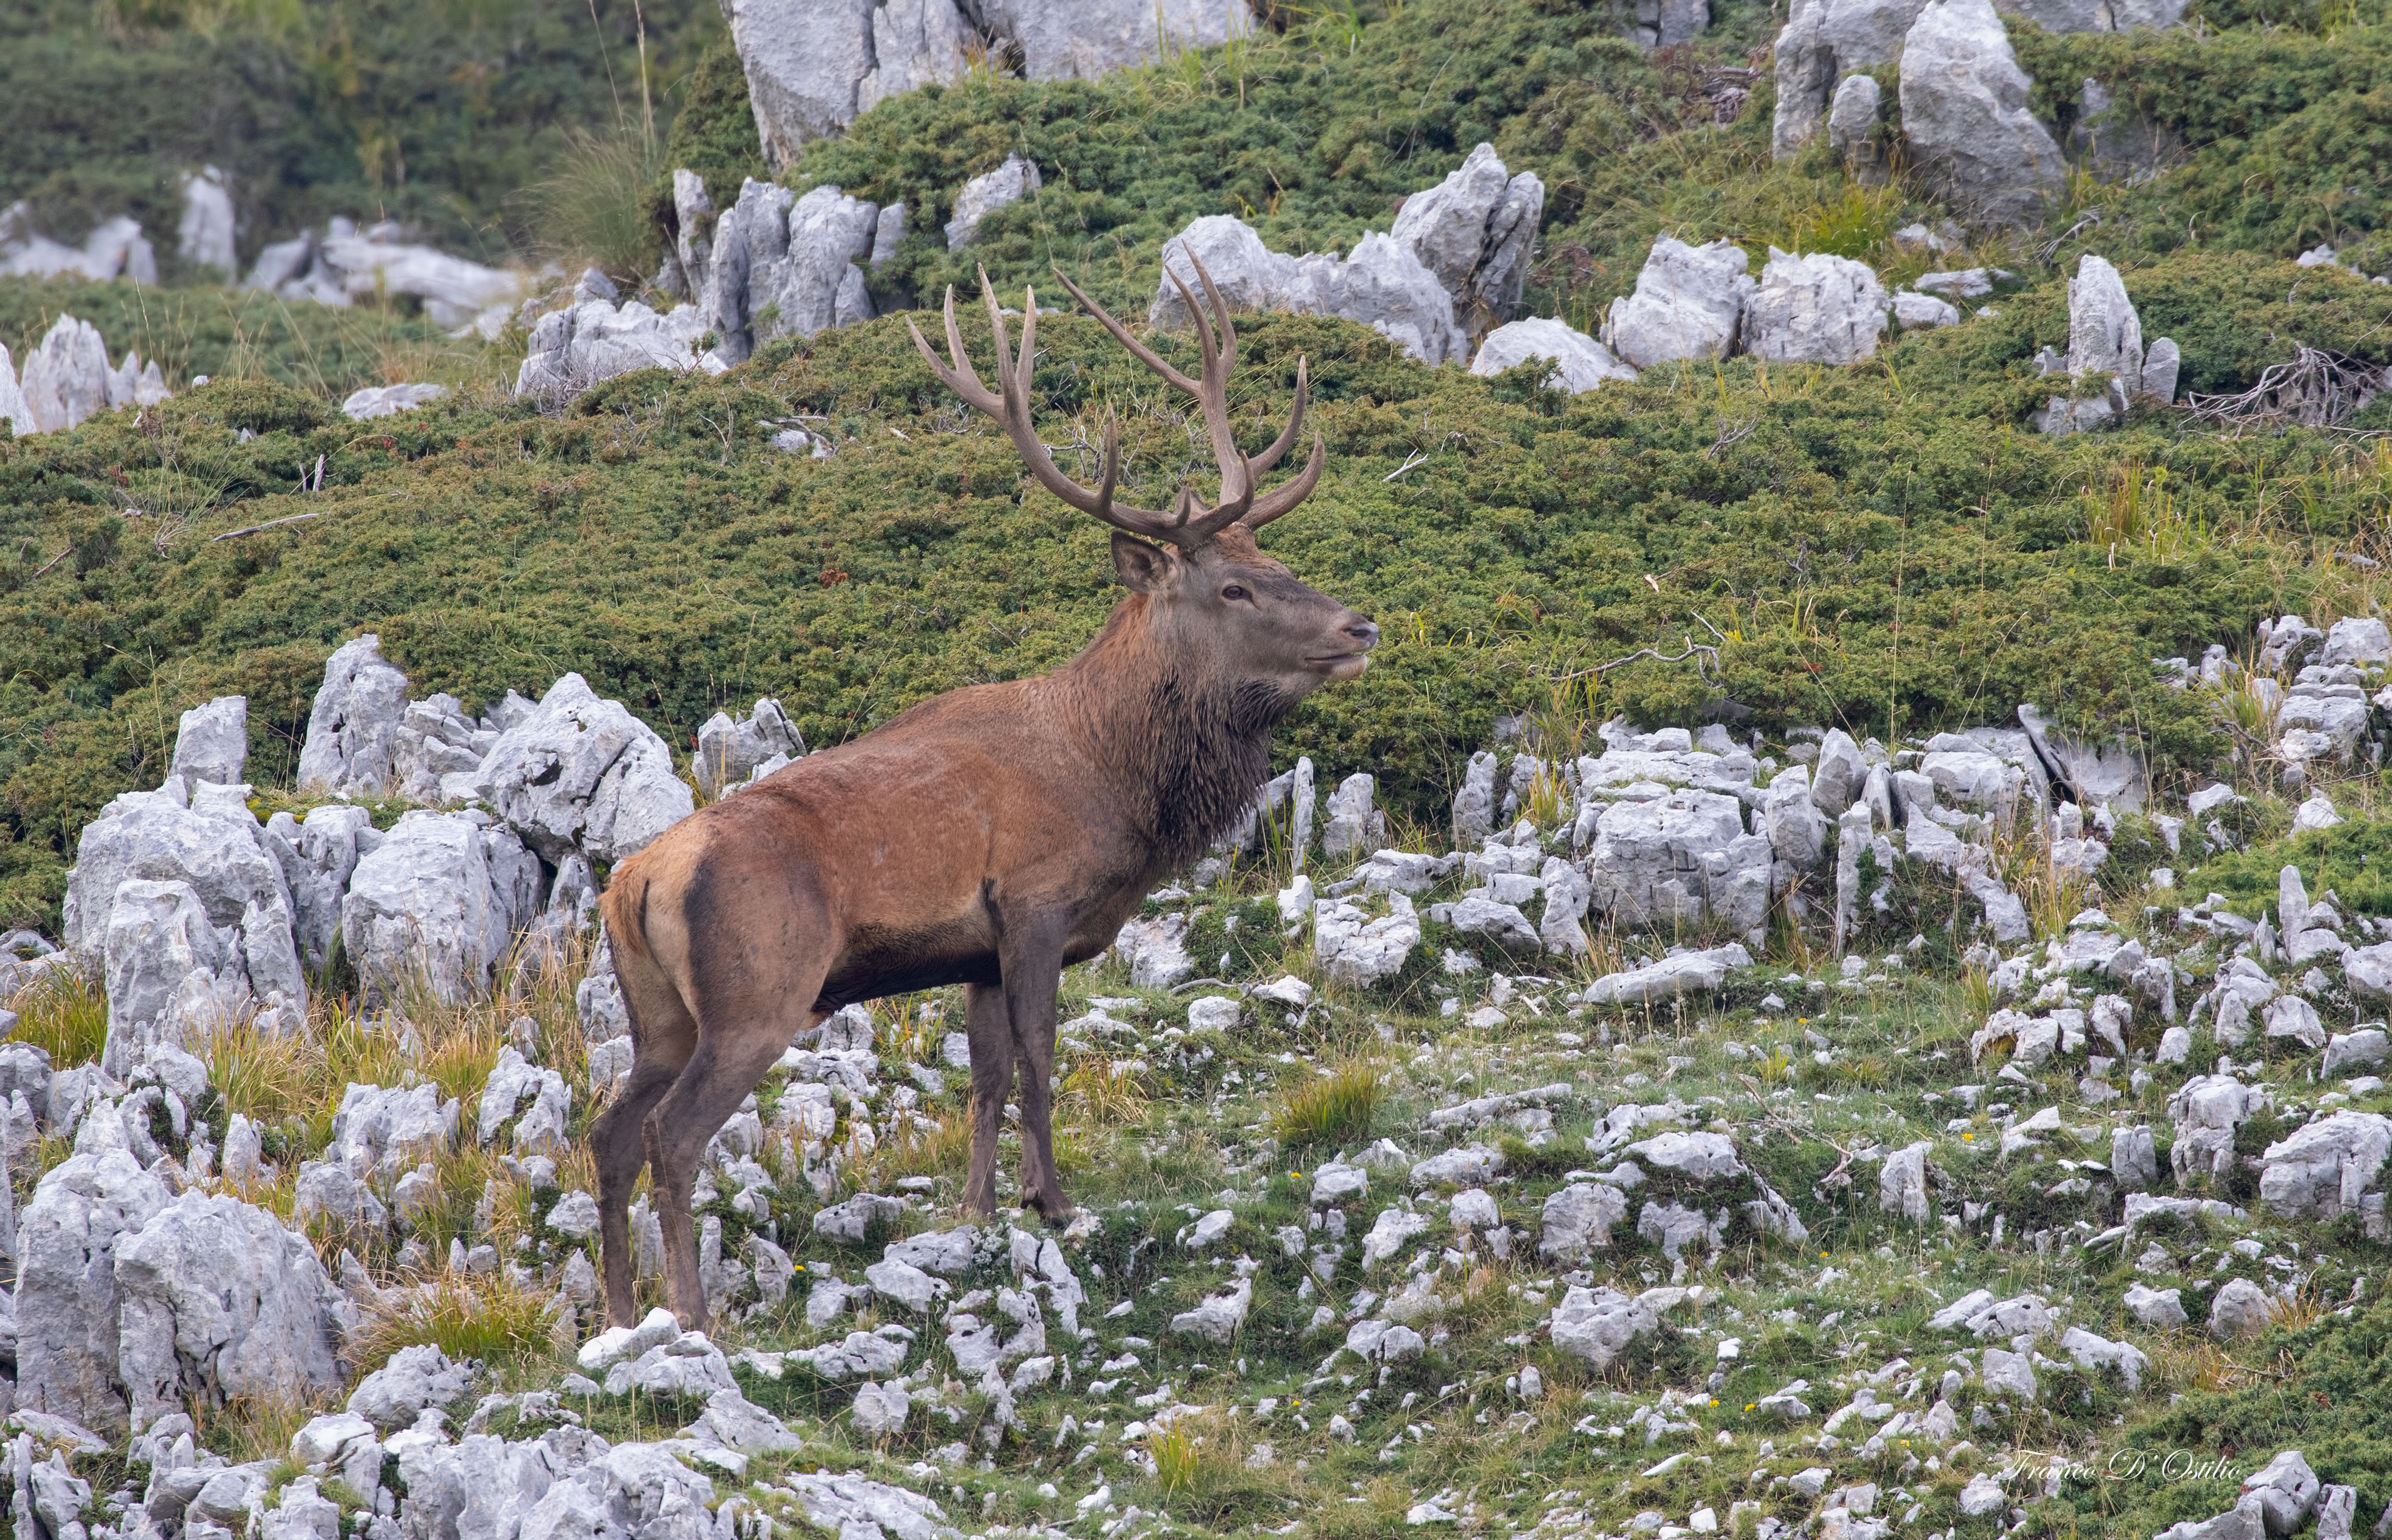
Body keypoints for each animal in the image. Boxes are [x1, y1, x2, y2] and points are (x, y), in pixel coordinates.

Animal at [590, 258, 1380, 1330]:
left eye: (1275, 562)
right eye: (1234, 589)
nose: (1359, 627)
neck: (1112, 777)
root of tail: (631, 883)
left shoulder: (975, 948)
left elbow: (986, 1077)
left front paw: (975, 1210)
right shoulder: (1035, 901)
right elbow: (1042, 1060)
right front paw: (1055, 1203)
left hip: (659, 1013)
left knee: (607, 1133)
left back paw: (619, 1318)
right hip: (757, 992)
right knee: (670, 1137)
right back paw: (691, 1316)